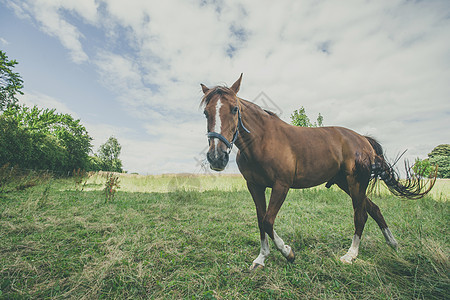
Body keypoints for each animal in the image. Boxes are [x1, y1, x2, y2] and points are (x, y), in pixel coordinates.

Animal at [200, 74, 436, 270]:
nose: (216, 157)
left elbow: (268, 221)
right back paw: (393, 244)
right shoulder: (254, 186)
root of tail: (362, 139)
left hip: (356, 183)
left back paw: (351, 255)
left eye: (234, 109)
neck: (263, 140)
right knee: (374, 209)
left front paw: (288, 252)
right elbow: (261, 220)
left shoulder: (281, 186)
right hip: (346, 184)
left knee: (360, 215)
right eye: (205, 112)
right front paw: (261, 258)